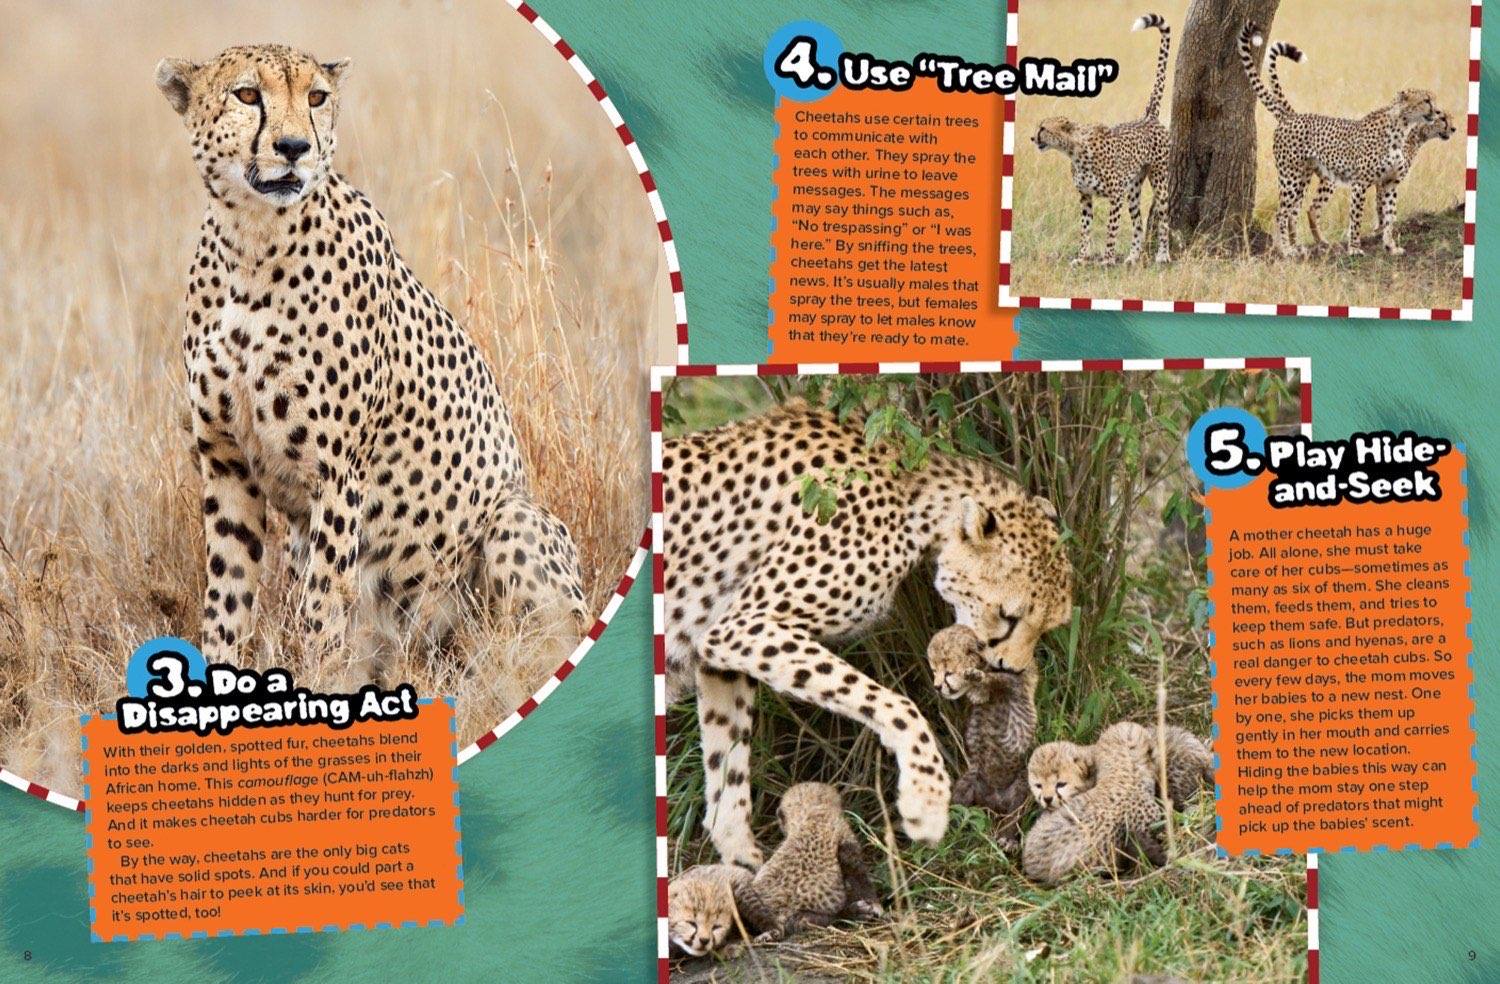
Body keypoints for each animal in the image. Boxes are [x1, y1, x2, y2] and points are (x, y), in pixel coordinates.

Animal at [154, 44, 588, 682]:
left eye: (316, 97)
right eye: (247, 95)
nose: (294, 147)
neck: (252, 239)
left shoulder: (337, 476)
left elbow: (323, 609)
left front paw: (321, 686)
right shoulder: (227, 464)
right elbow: (226, 600)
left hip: (513, 522)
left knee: (545, 637)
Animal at [733, 783, 882, 943]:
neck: (814, 812)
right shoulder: (847, 846)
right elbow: (861, 880)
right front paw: (875, 905)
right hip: (803, 918)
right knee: (828, 920)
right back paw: (853, 912)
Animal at [925, 624, 1036, 850]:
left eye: (948, 672)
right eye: (934, 671)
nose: (938, 687)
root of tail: (994, 803)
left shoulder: (1015, 681)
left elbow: (998, 679)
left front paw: (976, 678)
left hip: (1022, 783)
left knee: (1014, 815)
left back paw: (1007, 839)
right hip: (968, 782)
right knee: (957, 809)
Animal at [1032, 13, 1172, 266]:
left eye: (1043, 128)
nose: (1032, 137)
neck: (1074, 151)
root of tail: (1148, 116)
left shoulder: (1115, 195)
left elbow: (1111, 229)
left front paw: (1106, 260)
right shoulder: (1085, 196)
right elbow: (1085, 229)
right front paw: (1081, 258)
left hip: (1159, 178)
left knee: (1164, 218)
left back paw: (1163, 255)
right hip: (1133, 188)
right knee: (1138, 223)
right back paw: (1132, 257)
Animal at [1239, 24, 1443, 258]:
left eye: (1433, 99)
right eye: (1426, 100)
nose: (1437, 111)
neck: (1401, 129)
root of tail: (1290, 116)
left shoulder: (1390, 182)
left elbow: (1390, 216)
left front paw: (1391, 246)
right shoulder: (1360, 183)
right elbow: (1356, 218)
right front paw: (1354, 248)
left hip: (1304, 176)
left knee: (1294, 211)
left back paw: (1298, 246)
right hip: (1290, 175)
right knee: (1282, 213)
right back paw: (1287, 250)